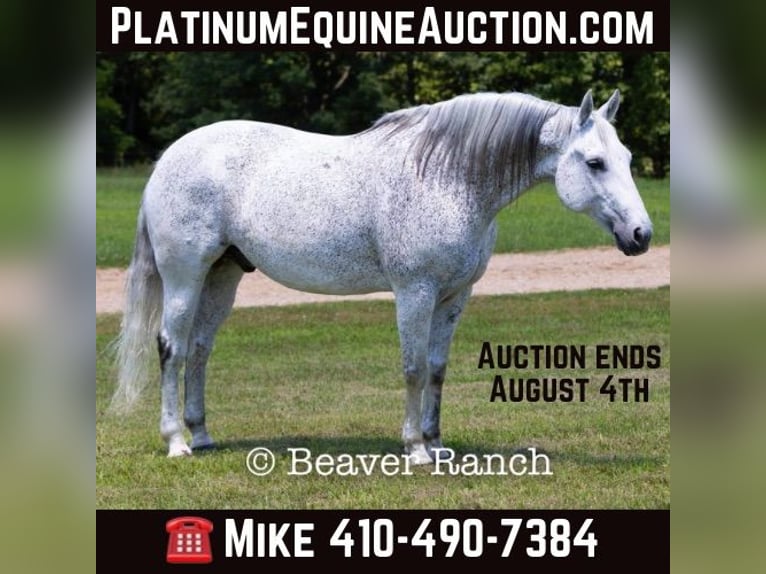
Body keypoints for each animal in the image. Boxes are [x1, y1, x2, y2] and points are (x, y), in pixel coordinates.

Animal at [111, 89, 653, 462]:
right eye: (595, 162)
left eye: (627, 159)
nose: (641, 234)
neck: (447, 177)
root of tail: (169, 158)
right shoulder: (415, 292)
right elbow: (412, 367)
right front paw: (415, 449)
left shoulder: (455, 296)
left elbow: (436, 368)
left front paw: (438, 445)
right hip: (185, 275)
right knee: (172, 347)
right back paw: (177, 442)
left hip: (224, 275)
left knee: (200, 350)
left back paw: (202, 434)